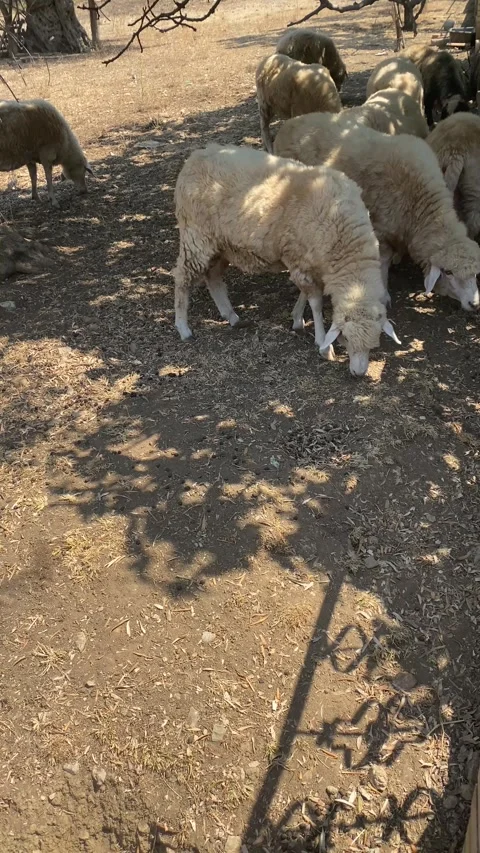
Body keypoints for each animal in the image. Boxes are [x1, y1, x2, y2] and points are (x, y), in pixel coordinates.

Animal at [173, 143, 401, 377]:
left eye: (374, 342)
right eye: (345, 337)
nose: (358, 373)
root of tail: (196, 156)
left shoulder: (307, 263)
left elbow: (305, 295)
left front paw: (297, 318)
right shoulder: (299, 261)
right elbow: (316, 303)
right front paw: (323, 344)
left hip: (220, 243)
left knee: (213, 277)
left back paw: (231, 316)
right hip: (196, 237)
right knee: (182, 278)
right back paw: (183, 328)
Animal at [273, 112, 480, 324]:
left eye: (476, 273)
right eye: (448, 272)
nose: (474, 304)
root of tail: (290, 122)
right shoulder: (380, 229)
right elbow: (383, 262)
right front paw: (384, 294)